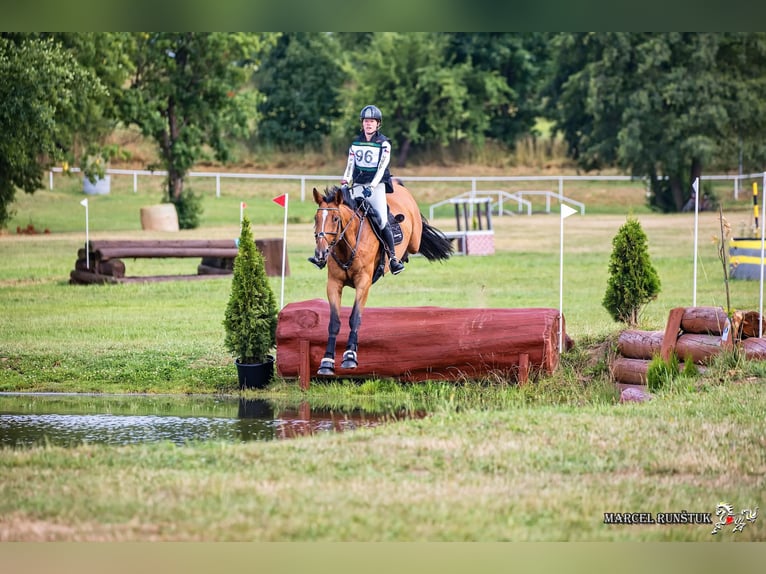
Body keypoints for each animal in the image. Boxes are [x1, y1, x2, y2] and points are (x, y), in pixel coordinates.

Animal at [311, 180, 453, 376]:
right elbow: (334, 322)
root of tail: (397, 184)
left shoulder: (363, 283)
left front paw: (350, 357)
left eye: (335, 219)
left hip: (414, 240)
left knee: (414, 243)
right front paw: (326, 362)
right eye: (315, 219)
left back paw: (397, 261)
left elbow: (355, 318)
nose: (320, 253)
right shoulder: (334, 283)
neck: (347, 244)